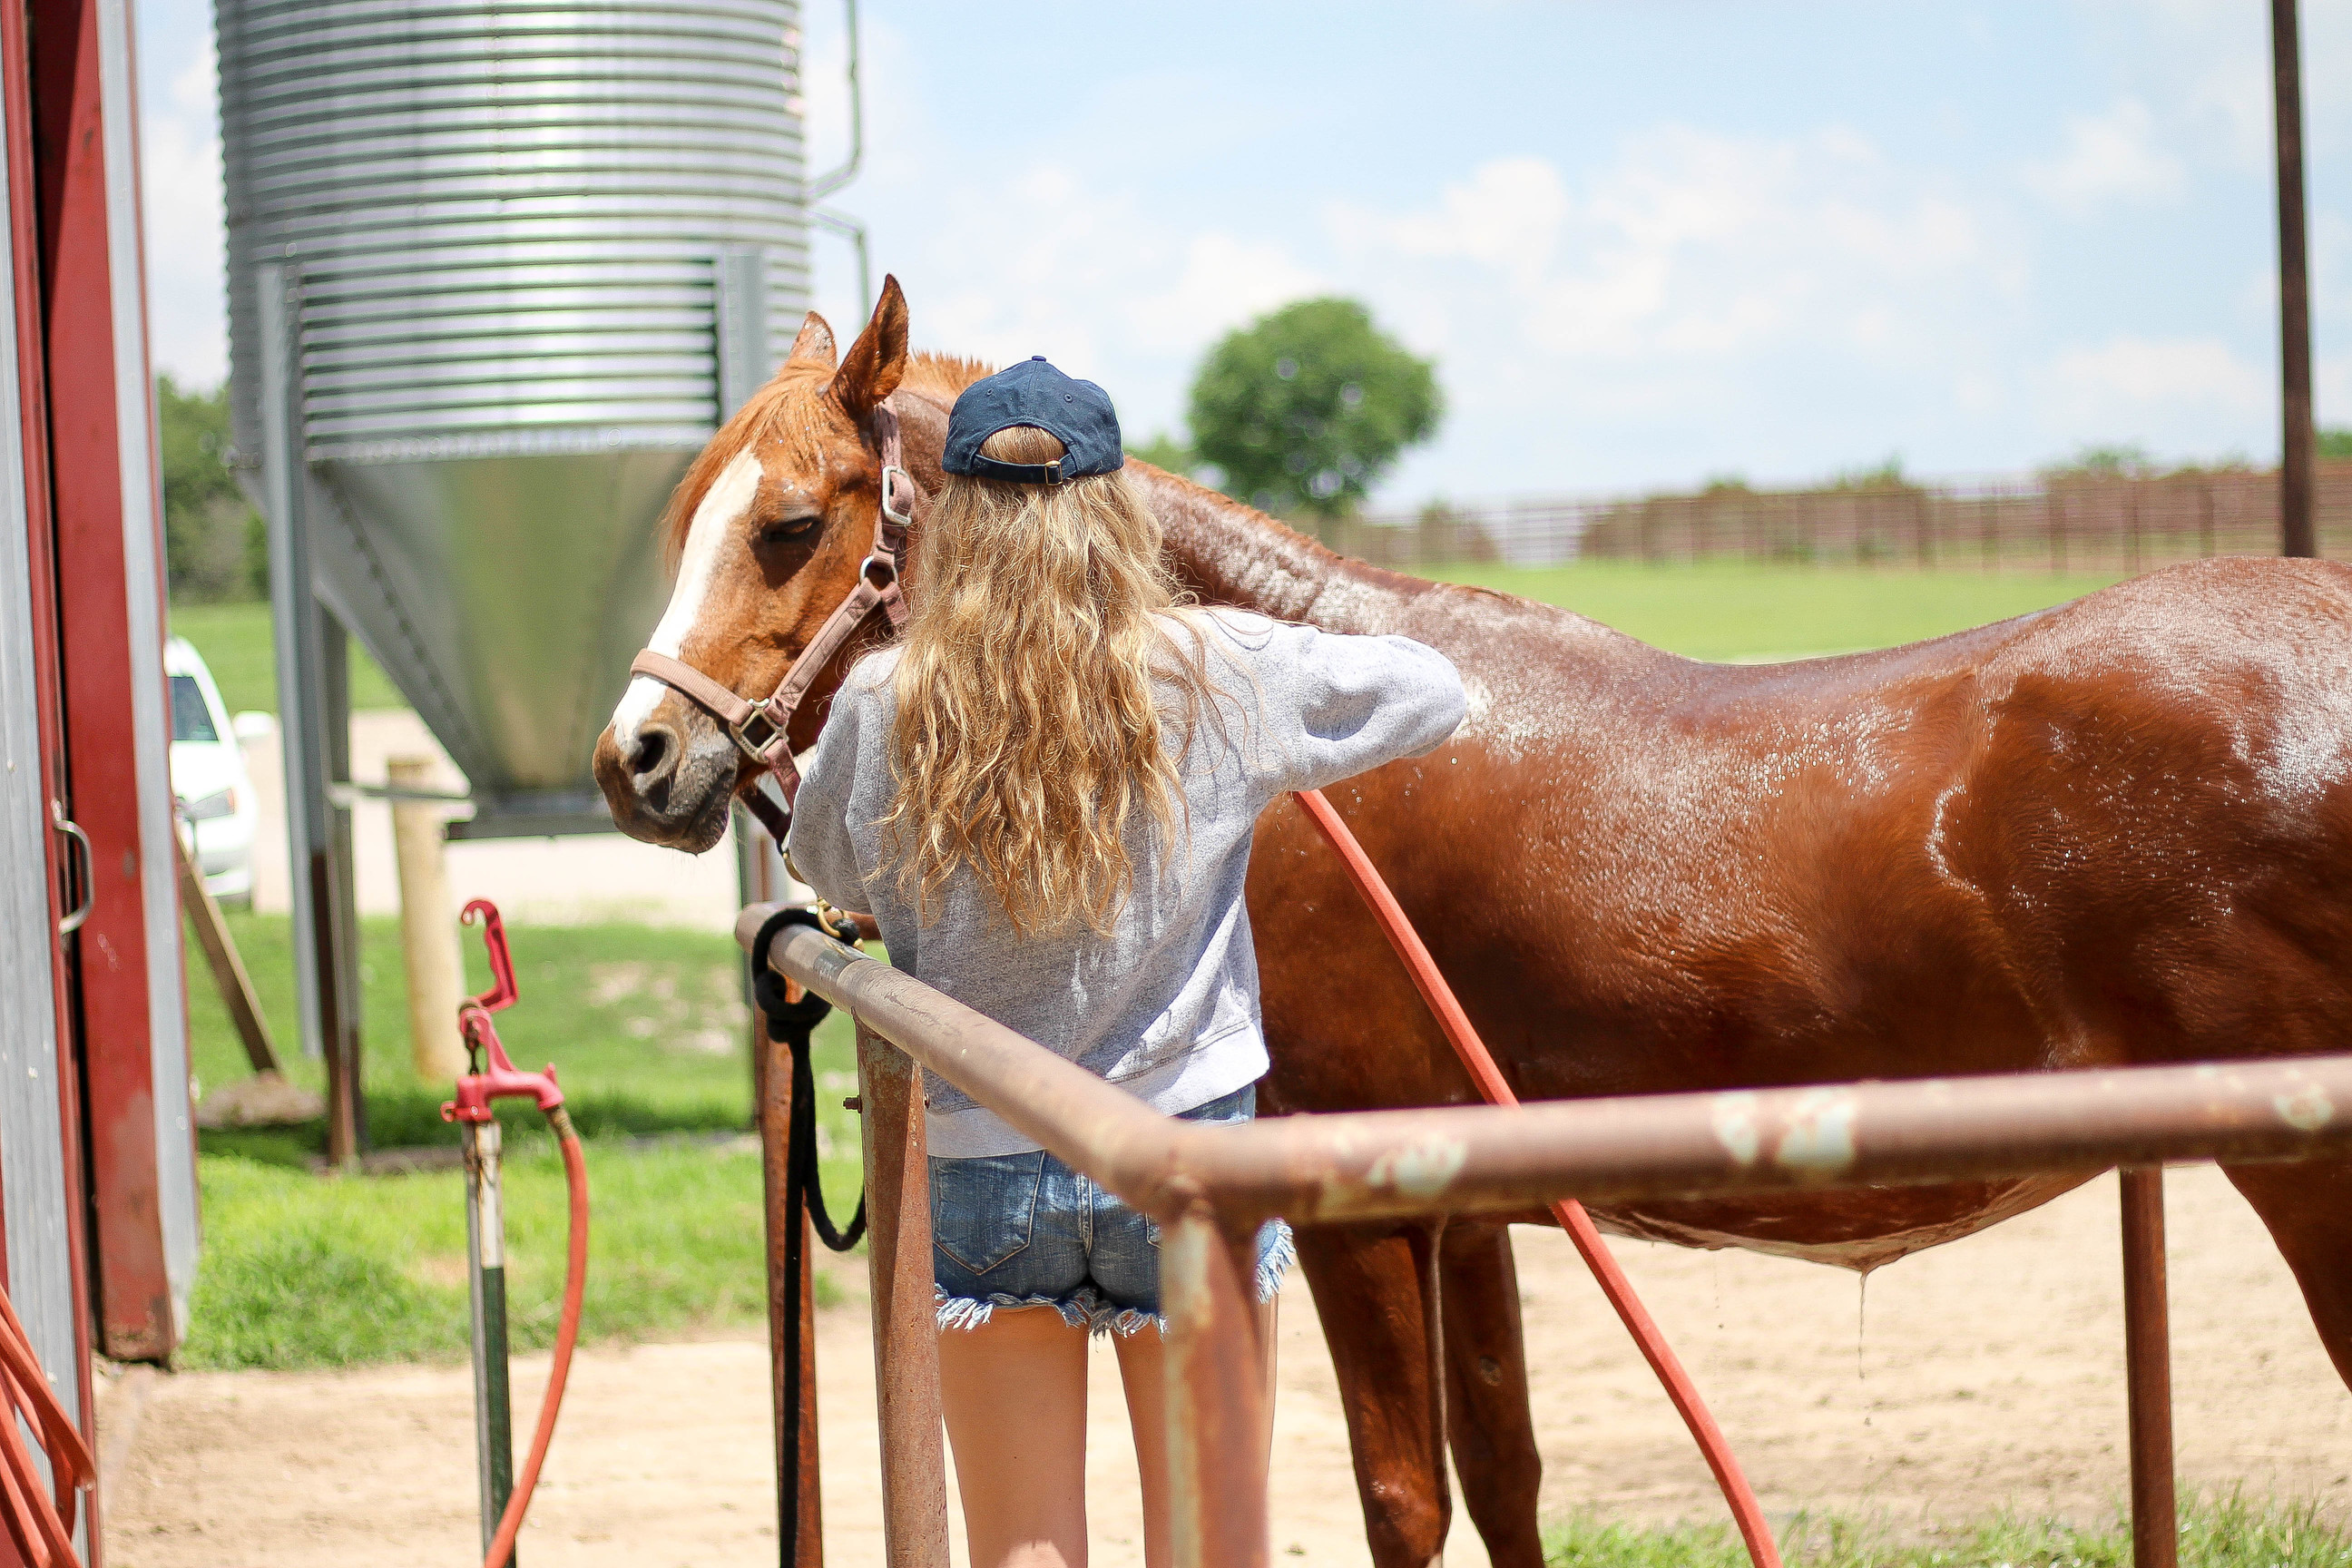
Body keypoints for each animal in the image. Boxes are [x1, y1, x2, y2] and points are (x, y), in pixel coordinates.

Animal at [593, 276, 2352, 1561]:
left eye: (790, 525)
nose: (639, 758)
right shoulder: (1472, 1205)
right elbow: (1505, 1476)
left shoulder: (1353, 1216)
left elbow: (1406, 1496)